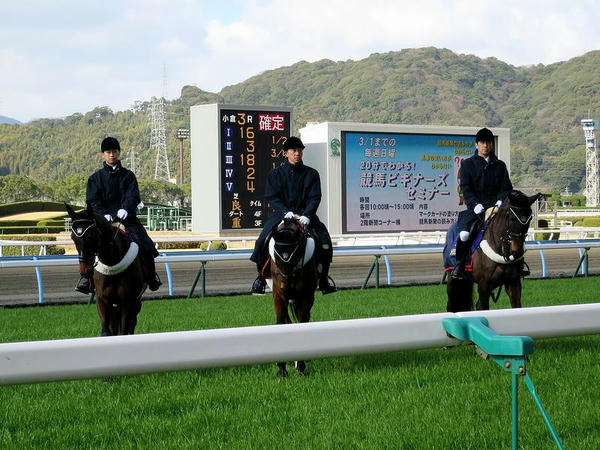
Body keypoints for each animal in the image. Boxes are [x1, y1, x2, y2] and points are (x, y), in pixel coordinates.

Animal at [66, 206, 146, 336]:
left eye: (90, 235)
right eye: (73, 238)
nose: (84, 270)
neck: (111, 262)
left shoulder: (127, 301)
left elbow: (124, 330)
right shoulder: (102, 299)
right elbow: (106, 331)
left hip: (135, 302)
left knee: (131, 325)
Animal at [270, 216, 322, 378]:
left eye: (296, 256)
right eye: (276, 257)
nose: (286, 284)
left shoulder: (306, 296)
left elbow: (302, 322)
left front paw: (301, 365)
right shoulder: (279, 296)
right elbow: (281, 323)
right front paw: (281, 369)